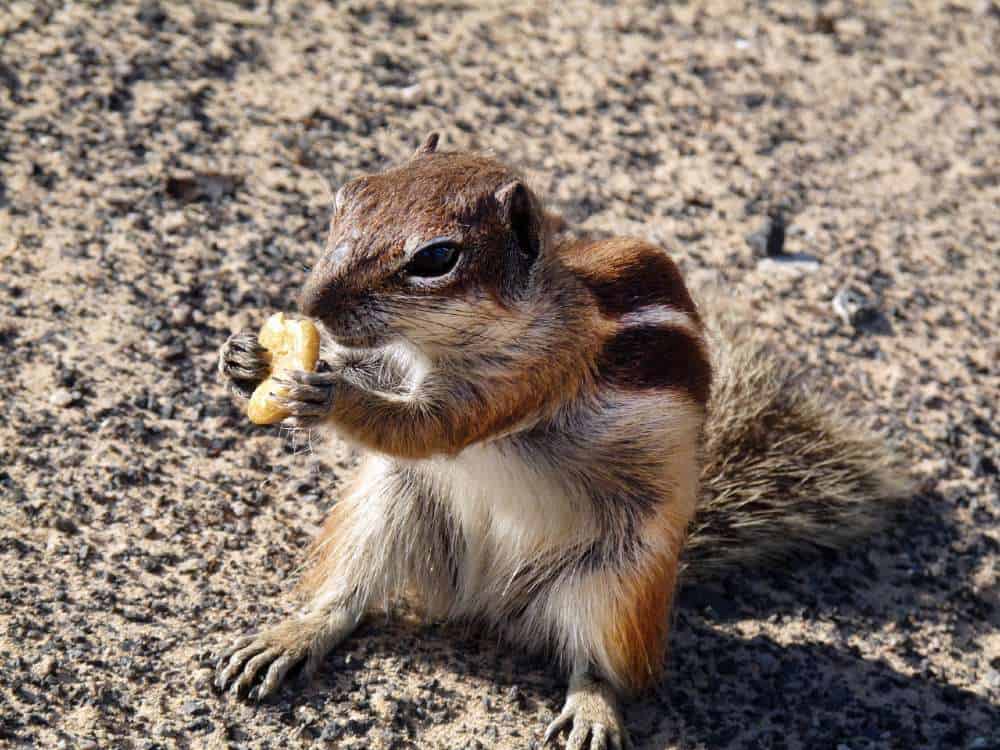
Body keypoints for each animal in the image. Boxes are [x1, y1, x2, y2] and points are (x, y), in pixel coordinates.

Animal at [213, 137, 908, 750]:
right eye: (348, 196)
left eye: (436, 258)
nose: (310, 303)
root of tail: (486, 603)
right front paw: (247, 358)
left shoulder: (527, 378)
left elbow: (429, 427)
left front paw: (326, 396)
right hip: (387, 509)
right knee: (348, 595)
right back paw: (290, 637)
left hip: (615, 584)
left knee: (601, 665)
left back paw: (592, 711)